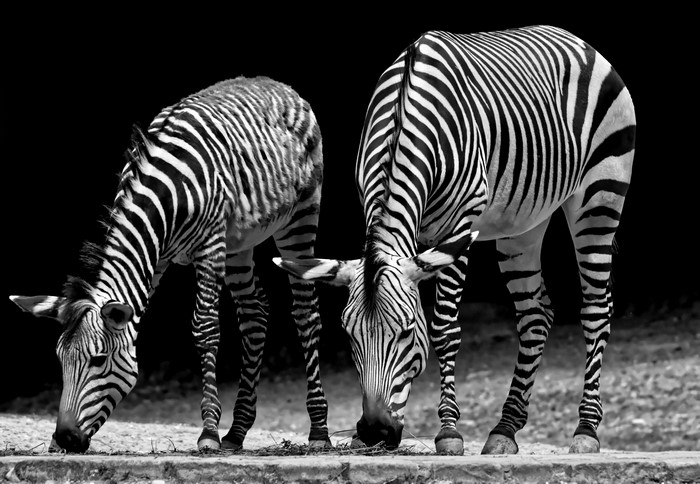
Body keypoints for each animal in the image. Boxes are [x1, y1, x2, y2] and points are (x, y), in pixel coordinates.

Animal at [9, 76, 331, 453]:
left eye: (99, 360)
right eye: (61, 361)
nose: (64, 438)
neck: (162, 198)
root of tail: (275, 84)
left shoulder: (209, 246)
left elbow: (205, 328)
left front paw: (208, 432)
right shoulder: (157, 258)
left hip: (301, 218)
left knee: (306, 313)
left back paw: (318, 430)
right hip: (238, 244)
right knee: (254, 314)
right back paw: (237, 431)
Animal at [275, 25, 636, 454]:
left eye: (407, 332)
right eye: (349, 335)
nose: (374, 432)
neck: (406, 120)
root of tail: (576, 40)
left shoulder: (458, 226)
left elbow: (446, 328)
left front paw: (448, 431)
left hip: (600, 195)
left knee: (596, 309)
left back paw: (586, 430)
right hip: (523, 223)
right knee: (535, 315)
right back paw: (505, 429)